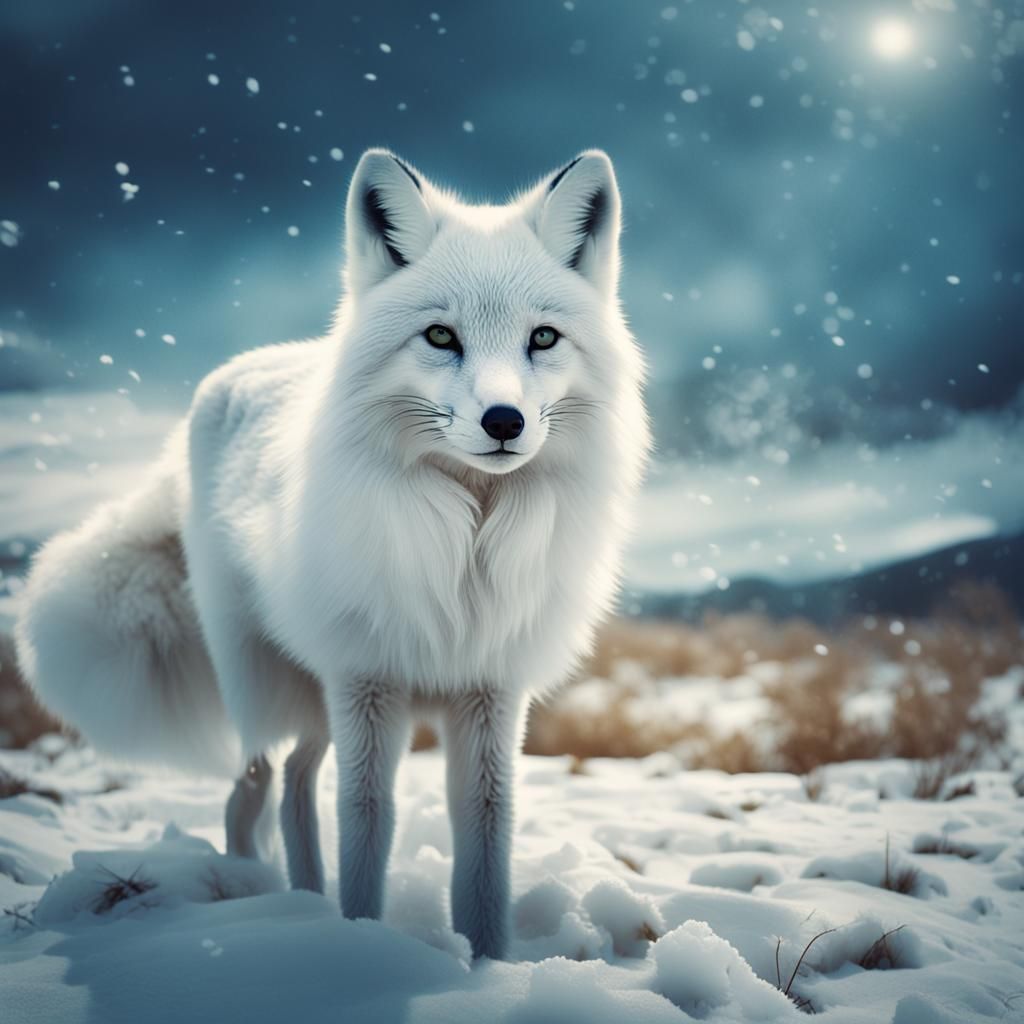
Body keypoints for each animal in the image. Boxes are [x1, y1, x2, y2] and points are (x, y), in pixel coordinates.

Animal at [14, 148, 650, 959]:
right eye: (439, 337)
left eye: (542, 339)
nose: (504, 421)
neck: (465, 543)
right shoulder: (367, 680)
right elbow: (366, 820)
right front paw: (361, 942)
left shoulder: (489, 689)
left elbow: (485, 837)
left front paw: (485, 959)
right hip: (266, 680)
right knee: (252, 789)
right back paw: (258, 893)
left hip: (314, 700)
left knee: (292, 786)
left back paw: (304, 899)